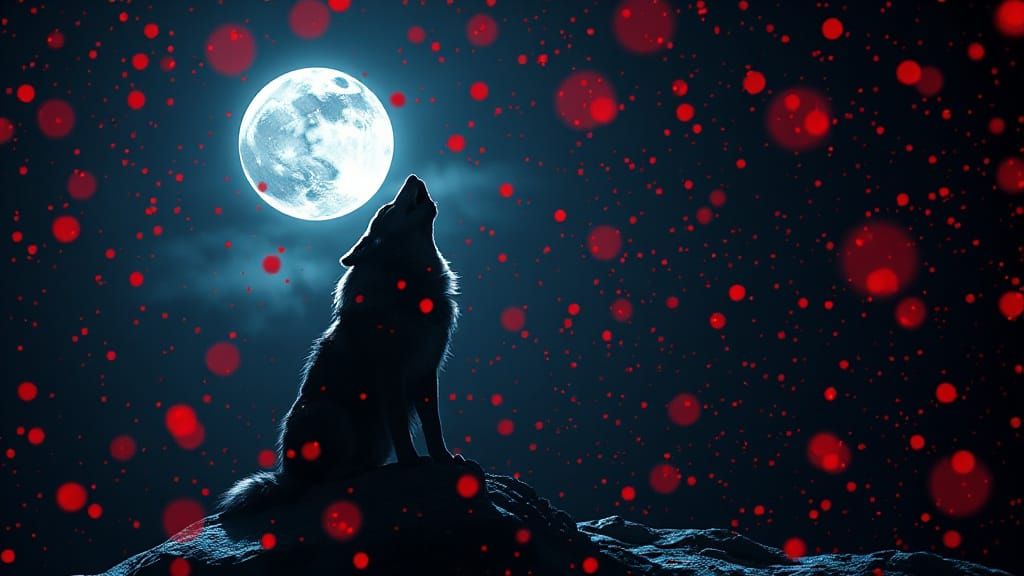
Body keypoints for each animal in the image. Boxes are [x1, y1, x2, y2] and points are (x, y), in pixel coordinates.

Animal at [219, 174, 460, 513]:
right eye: (386, 208)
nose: (413, 177)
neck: (410, 284)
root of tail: (288, 473)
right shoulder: (390, 375)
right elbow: (402, 427)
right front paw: (412, 462)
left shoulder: (427, 372)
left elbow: (433, 425)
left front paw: (443, 459)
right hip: (331, 411)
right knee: (322, 480)